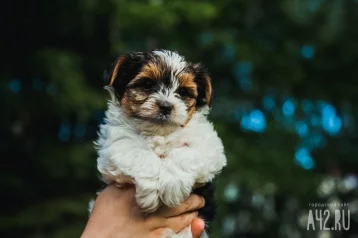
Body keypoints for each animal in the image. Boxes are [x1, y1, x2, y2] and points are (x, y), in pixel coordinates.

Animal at [94, 49, 227, 237]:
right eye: (147, 84)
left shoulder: (209, 147)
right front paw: (150, 193)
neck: (159, 132)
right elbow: (138, 153)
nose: (165, 106)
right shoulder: (115, 145)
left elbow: (186, 154)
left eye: (183, 92)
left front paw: (172, 186)